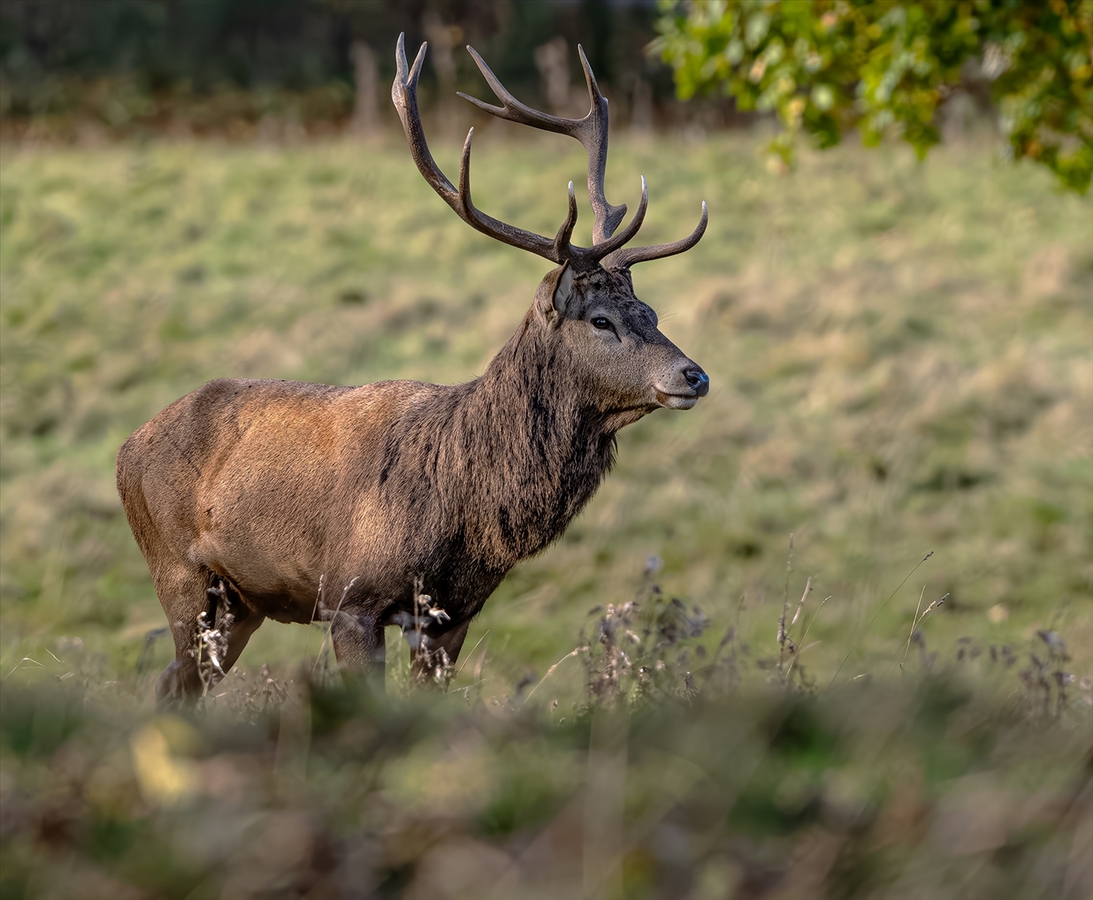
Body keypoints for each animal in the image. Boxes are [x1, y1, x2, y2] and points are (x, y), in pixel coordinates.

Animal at [116, 35, 709, 708]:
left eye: (651, 311)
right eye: (602, 320)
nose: (694, 375)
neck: (461, 510)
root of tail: (126, 449)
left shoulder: (453, 614)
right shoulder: (351, 599)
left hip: (242, 602)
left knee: (179, 684)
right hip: (178, 571)